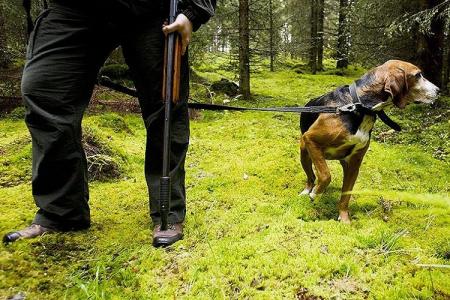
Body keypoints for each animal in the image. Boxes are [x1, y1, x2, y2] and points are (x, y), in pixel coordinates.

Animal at [298, 59, 440, 223]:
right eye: (418, 75)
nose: (439, 90)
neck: (360, 106)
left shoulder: (354, 163)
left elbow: (346, 195)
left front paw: (344, 220)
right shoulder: (311, 139)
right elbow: (326, 175)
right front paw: (316, 194)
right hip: (305, 153)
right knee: (311, 177)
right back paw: (308, 191)